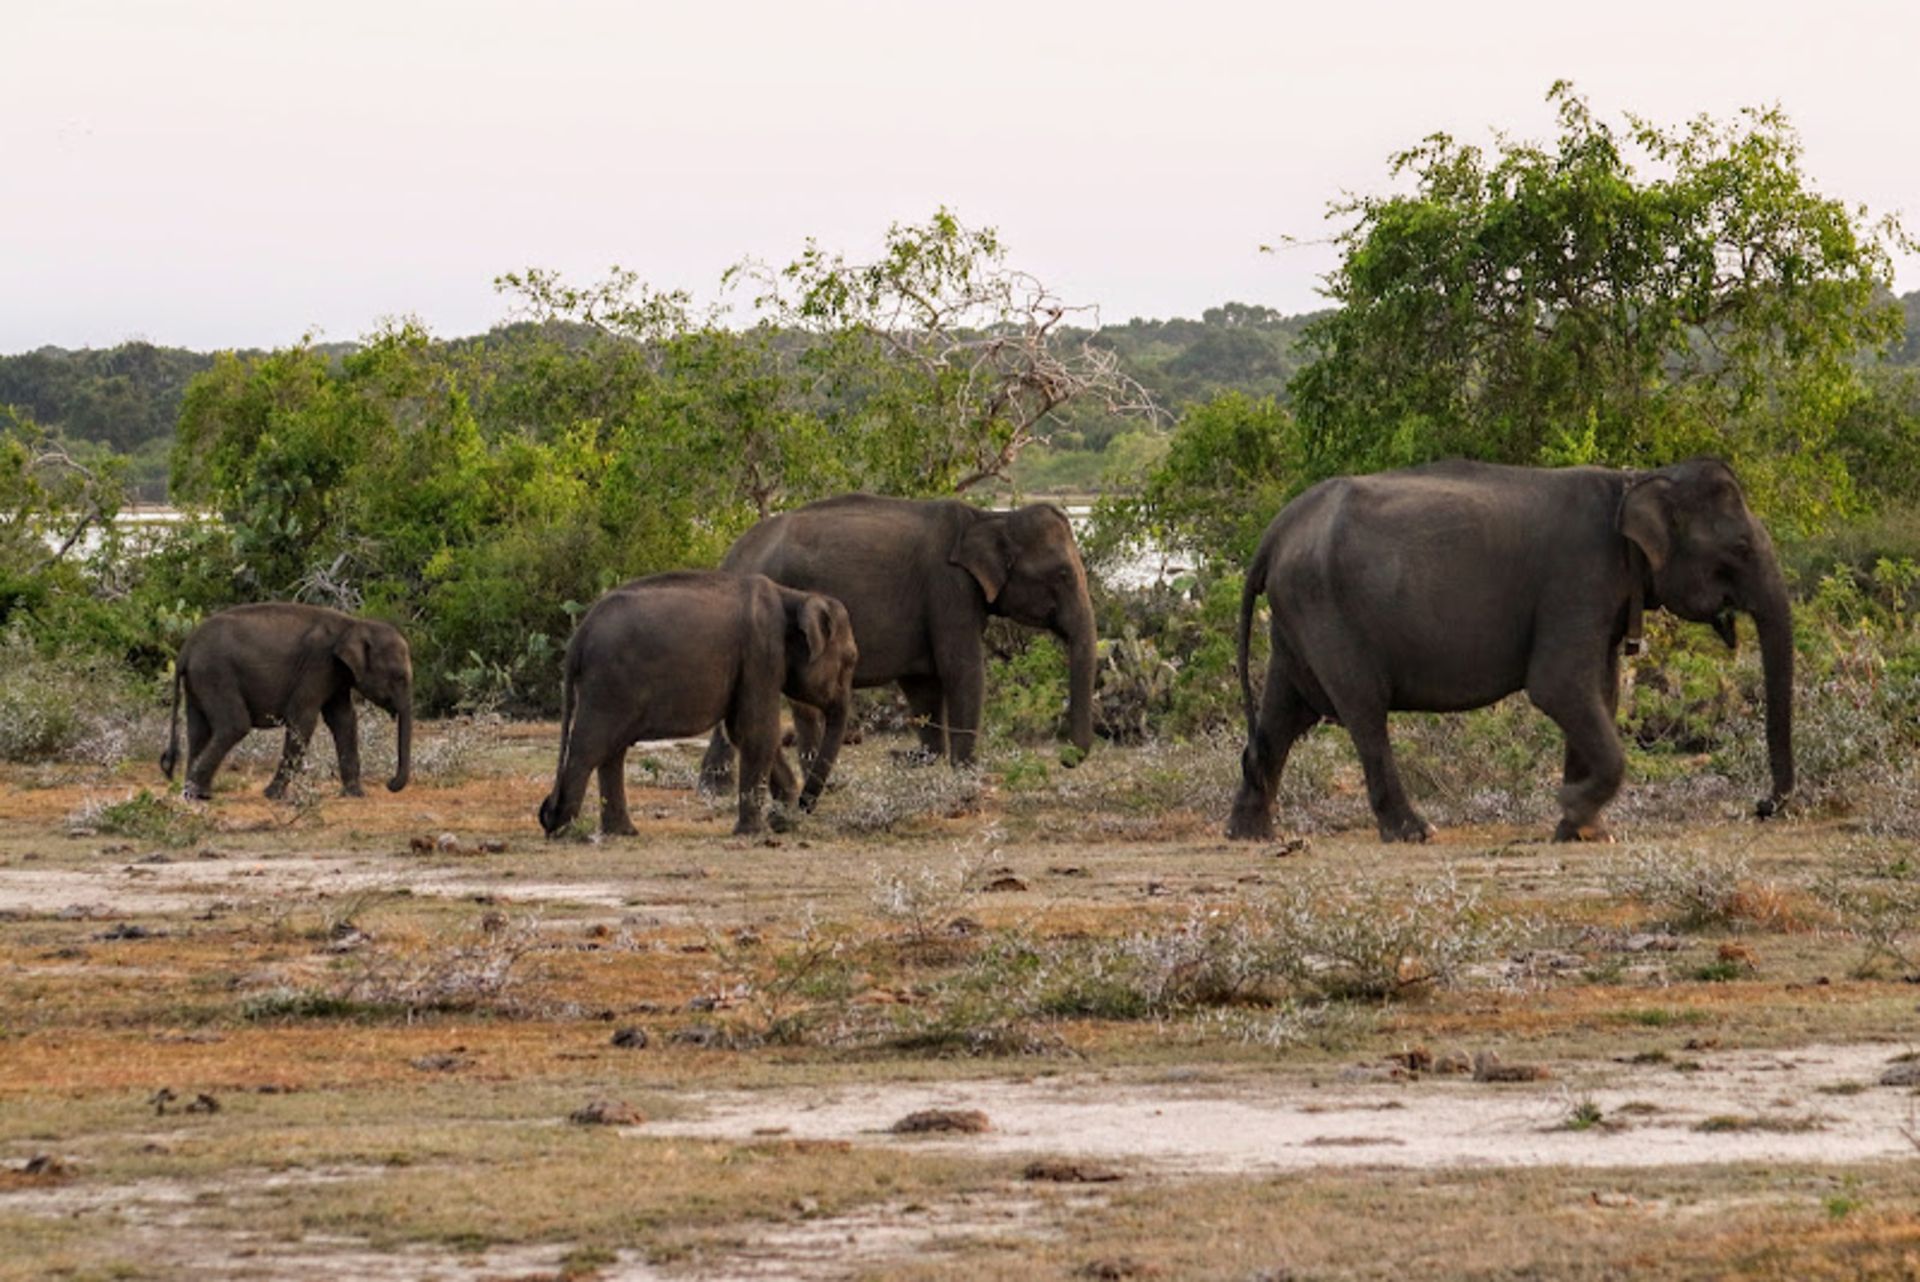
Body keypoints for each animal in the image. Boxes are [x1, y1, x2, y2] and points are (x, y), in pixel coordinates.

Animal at [161, 603, 413, 800]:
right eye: (399, 677)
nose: (389, 784)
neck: (354, 624)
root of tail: (185, 649)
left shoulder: (338, 674)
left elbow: (344, 720)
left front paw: (354, 795)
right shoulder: (318, 664)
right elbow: (302, 719)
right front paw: (271, 796)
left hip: (198, 680)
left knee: (199, 730)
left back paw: (196, 793)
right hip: (215, 674)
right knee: (233, 726)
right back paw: (196, 793)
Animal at [537, 571, 857, 838]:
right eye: (850, 660)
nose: (803, 807)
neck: (795, 596)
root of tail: (579, 635)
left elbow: (742, 732)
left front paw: (781, 818)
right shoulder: (761, 653)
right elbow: (758, 733)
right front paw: (756, 832)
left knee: (612, 751)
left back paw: (622, 832)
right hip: (608, 683)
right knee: (590, 746)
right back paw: (564, 830)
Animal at [696, 494, 1097, 791]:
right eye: (1062, 575)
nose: (1066, 759)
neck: (991, 517)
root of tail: (732, 558)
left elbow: (924, 685)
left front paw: (924, 759)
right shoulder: (949, 589)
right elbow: (962, 669)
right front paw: (969, 773)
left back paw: (719, 788)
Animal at [1226, 458, 1794, 844]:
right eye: (1741, 549)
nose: (1764, 805)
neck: (1635, 478)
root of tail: (1278, 529)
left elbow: (1599, 691)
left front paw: (1582, 831)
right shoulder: (1578, 576)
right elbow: (1559, 687)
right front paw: (1572, 808)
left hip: (1300, 613)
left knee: (1284, 713)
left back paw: (1251, 834)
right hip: (1328, 610)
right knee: (1363, 712)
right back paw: (1415, 832)